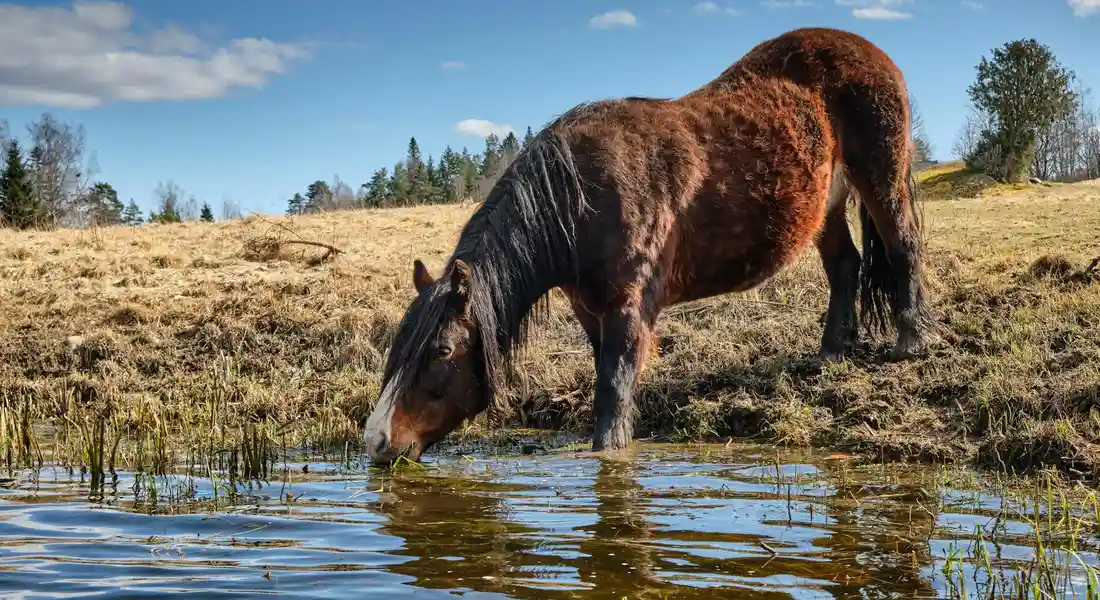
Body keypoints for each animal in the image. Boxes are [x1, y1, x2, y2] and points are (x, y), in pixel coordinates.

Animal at [361, 27, 932, 465]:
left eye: (441, 350)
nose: (377, 442)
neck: (579, 202)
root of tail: (874, 52)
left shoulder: (629, 310)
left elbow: (613, 396)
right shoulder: (592, 313)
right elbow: (608, 382)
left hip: (879, 176)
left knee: (902, 246)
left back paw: (911, 340)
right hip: (825, 203)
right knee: (845, 265)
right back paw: (832, 351)